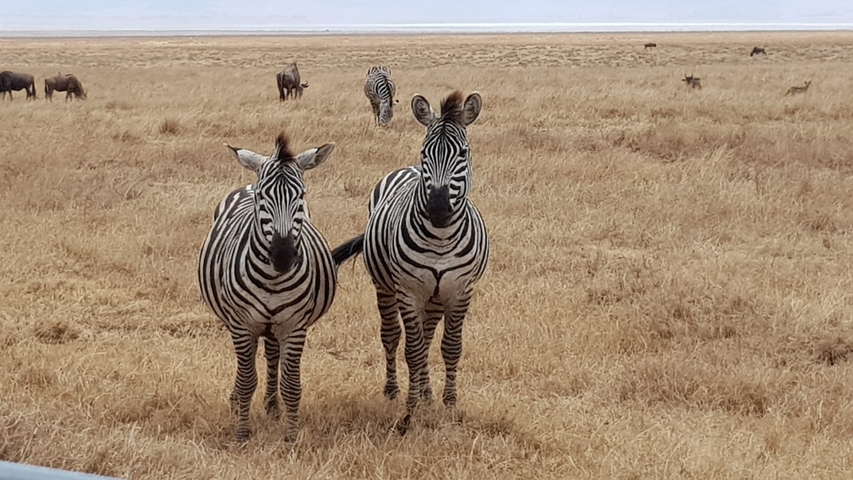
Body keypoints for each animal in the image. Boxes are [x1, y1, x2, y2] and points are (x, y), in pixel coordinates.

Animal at [197, 131, 364, 443]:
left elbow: (292, 384)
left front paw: (291, 436)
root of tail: (247, 183)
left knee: (272, 355)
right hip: (237, 321)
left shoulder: (294, 326)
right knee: (248, 363)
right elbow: (247, 379)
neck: (272, 279)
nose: (284, 256)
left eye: (302, 195)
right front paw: (242, 433)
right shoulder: (242, 325)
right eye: (263, 197)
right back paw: (237, 402)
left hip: (274, 325)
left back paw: (272, 406)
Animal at [361, 90, 490, 433]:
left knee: (429, 337)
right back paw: (395, 390)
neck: (441, 238)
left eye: (463, 153)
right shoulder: (409, 292)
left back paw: (427, 392)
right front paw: (409, 411)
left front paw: (449, 403)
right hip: (385, 287)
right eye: (424, 151)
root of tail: (408, 169)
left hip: (435, 297)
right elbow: (413, 351)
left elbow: (450, 347)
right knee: (392, 336)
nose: (438, 208)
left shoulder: (460, 292)